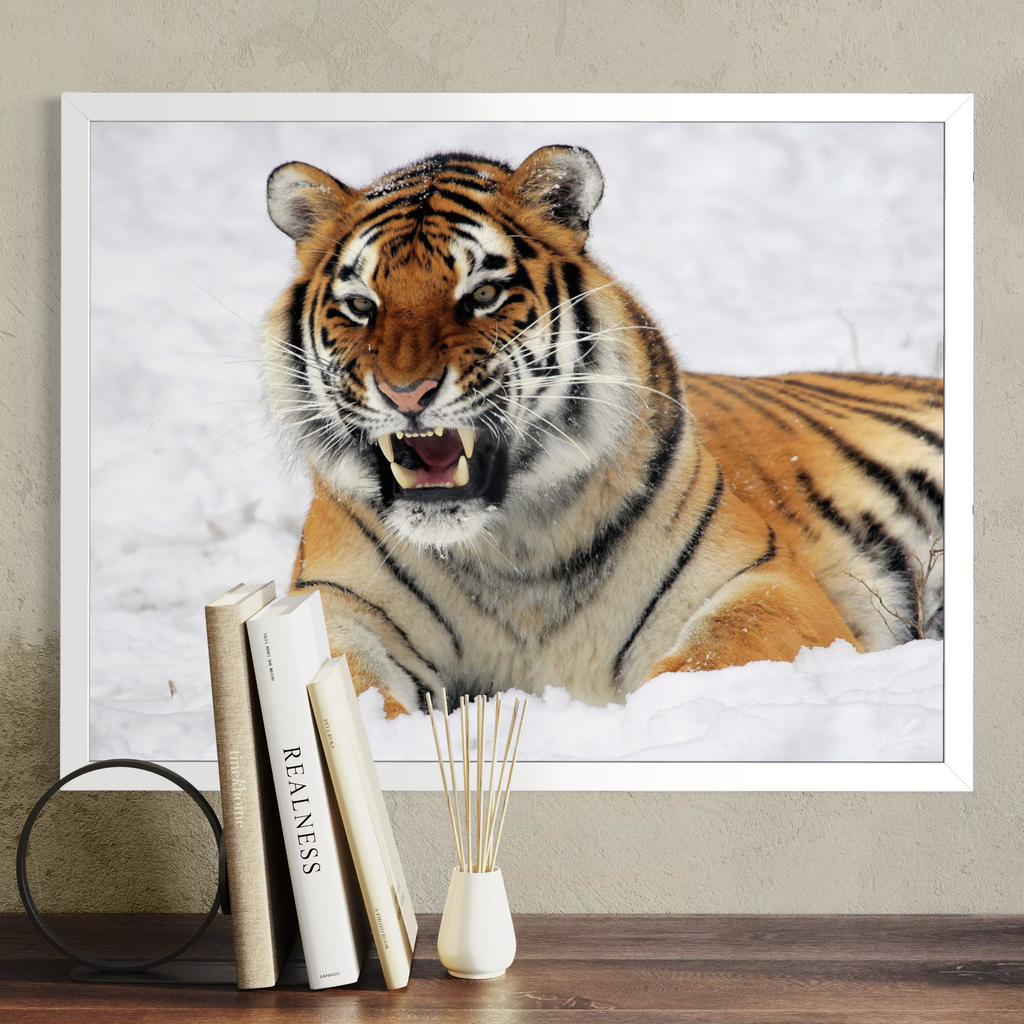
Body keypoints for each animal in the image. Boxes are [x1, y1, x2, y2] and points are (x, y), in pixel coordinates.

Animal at [261, 146, 943, 717]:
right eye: (360, 306)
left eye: (482, 295)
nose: (406, 393)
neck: (510, 551)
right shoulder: (338, 606)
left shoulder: (763, 582)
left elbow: (707, 660)